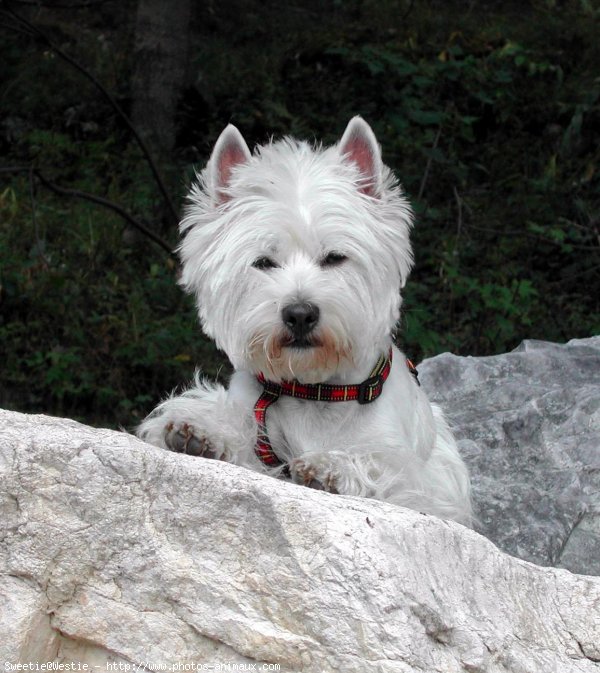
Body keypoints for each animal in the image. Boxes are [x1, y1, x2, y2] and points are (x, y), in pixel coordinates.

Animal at [138, 115, 472, 524]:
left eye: (335, 258)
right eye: (264, 262)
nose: (299, 314)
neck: (315, 391)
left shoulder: (425, 488)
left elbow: (382, 465)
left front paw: (330, 467)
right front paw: (203, 432)